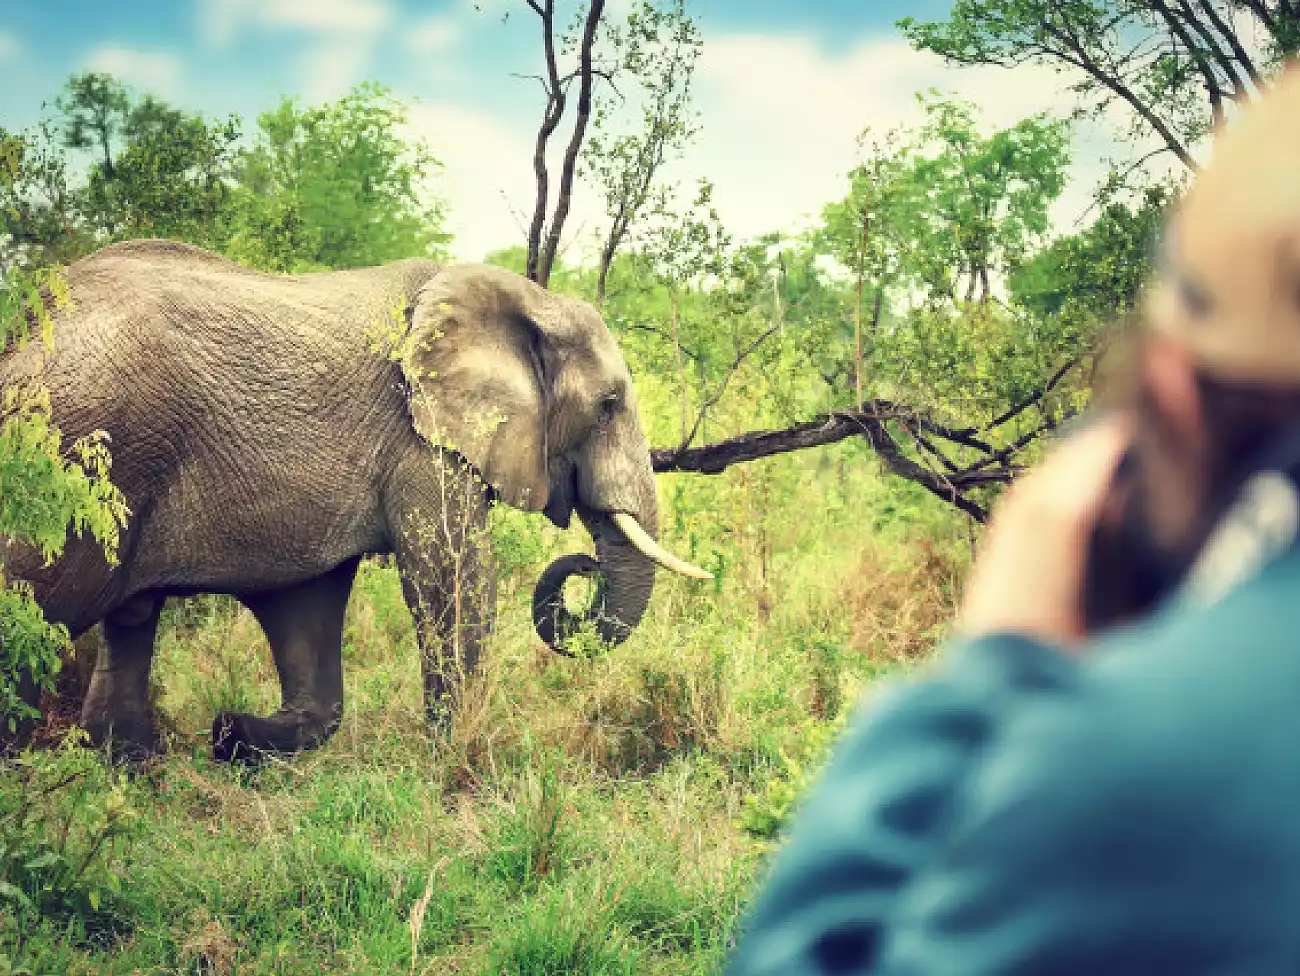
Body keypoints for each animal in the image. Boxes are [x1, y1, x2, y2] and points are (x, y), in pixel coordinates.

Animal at [0, 238, 710, 763]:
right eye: (609, 405)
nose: (584, 564)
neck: (526, 299)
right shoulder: (420, 438)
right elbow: (450, 575)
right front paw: (457, 754)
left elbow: (308, 612)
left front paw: (233, 734)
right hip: (74, 455)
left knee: (130, 620)